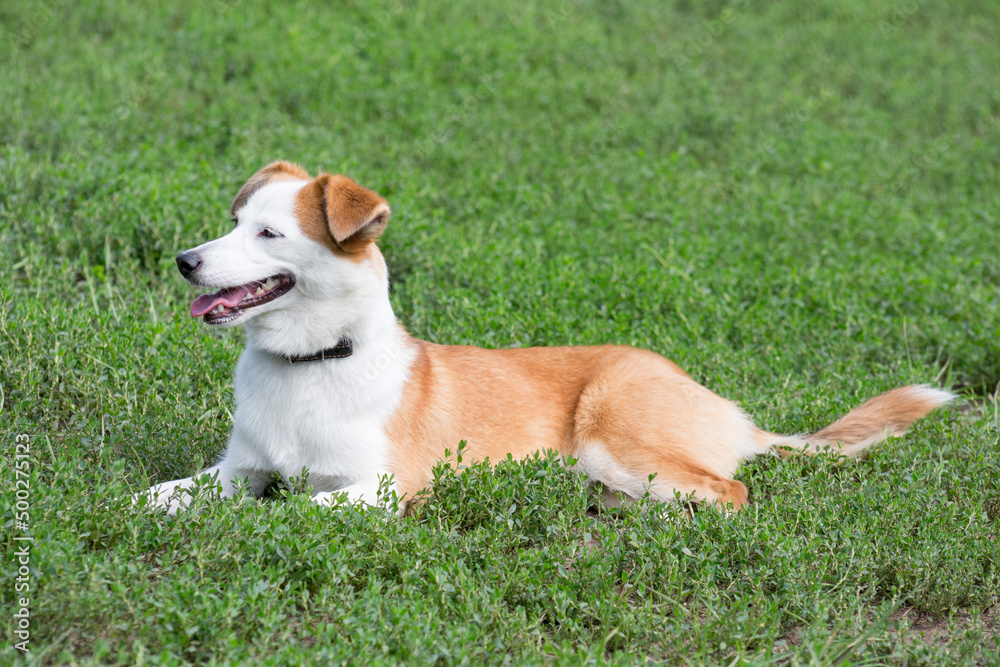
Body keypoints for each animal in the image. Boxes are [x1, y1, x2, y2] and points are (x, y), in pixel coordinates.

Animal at [139, 162, 952, 516]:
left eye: (269, 234)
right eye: (233, 221)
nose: (185, 260)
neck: (309, 363)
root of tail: (729, 409)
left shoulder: (385, 485)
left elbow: (293, 509)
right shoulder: (238, 468)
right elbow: (157, 495)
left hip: (616, 434)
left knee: (731, 491)